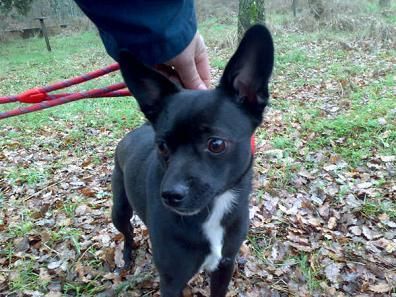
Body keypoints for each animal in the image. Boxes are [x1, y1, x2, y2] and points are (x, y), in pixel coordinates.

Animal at [111, 25, 272, 296]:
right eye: (162, 147)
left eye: (216, 144)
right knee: (128, 231)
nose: (170, 195)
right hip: (119, 210)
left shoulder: (224, 266)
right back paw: (127, 254)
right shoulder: (171, 281)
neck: (213, 209)